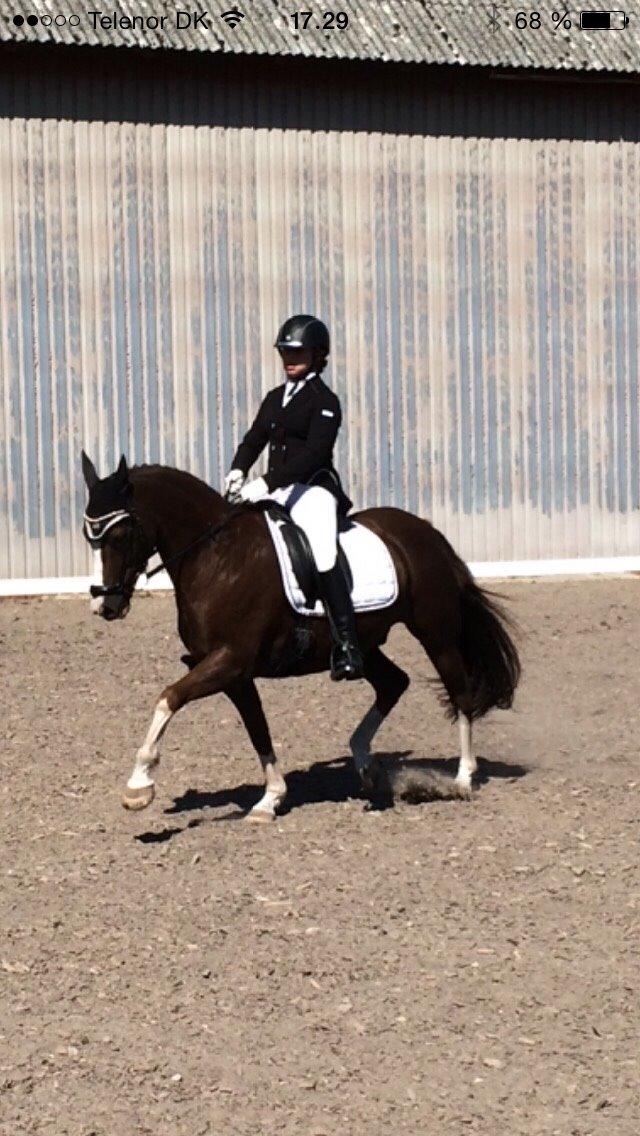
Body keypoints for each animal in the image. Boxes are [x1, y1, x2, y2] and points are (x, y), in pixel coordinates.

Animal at [81, 452, 521, 821]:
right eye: (90, 538)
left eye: (118, 536)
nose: (104, 605)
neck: (215, 558)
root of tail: (428, 533)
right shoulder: (234, 674)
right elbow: (257, 729)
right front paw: (270, 799)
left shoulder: (230, 660)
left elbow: (168, 698)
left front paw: (139, 785)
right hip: (364, 644)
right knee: (394, 683)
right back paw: (366, 766)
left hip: (437, 634)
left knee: (460, 693)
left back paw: (462, 779)